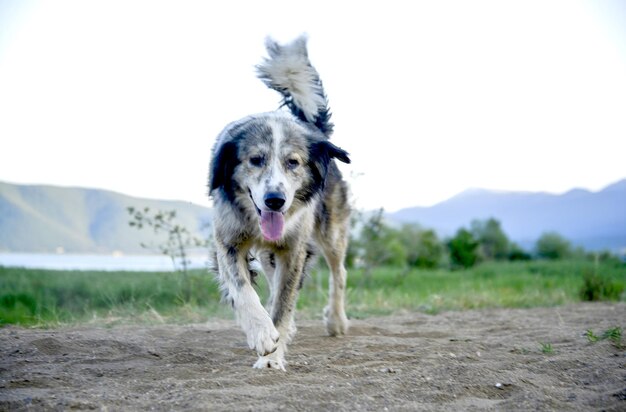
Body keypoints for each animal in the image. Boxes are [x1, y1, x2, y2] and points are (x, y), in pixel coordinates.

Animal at [206, 36, 348, 370]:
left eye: (292, 162)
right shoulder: (227, 241)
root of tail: (314, 130)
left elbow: (284, 303)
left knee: (339, 272)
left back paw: (336, 320)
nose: (275, 201)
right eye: (256, 159)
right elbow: (243, 289)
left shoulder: (294, 250)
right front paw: (261, 333)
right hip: (270, 253)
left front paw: (272, 356)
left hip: (331, 233)